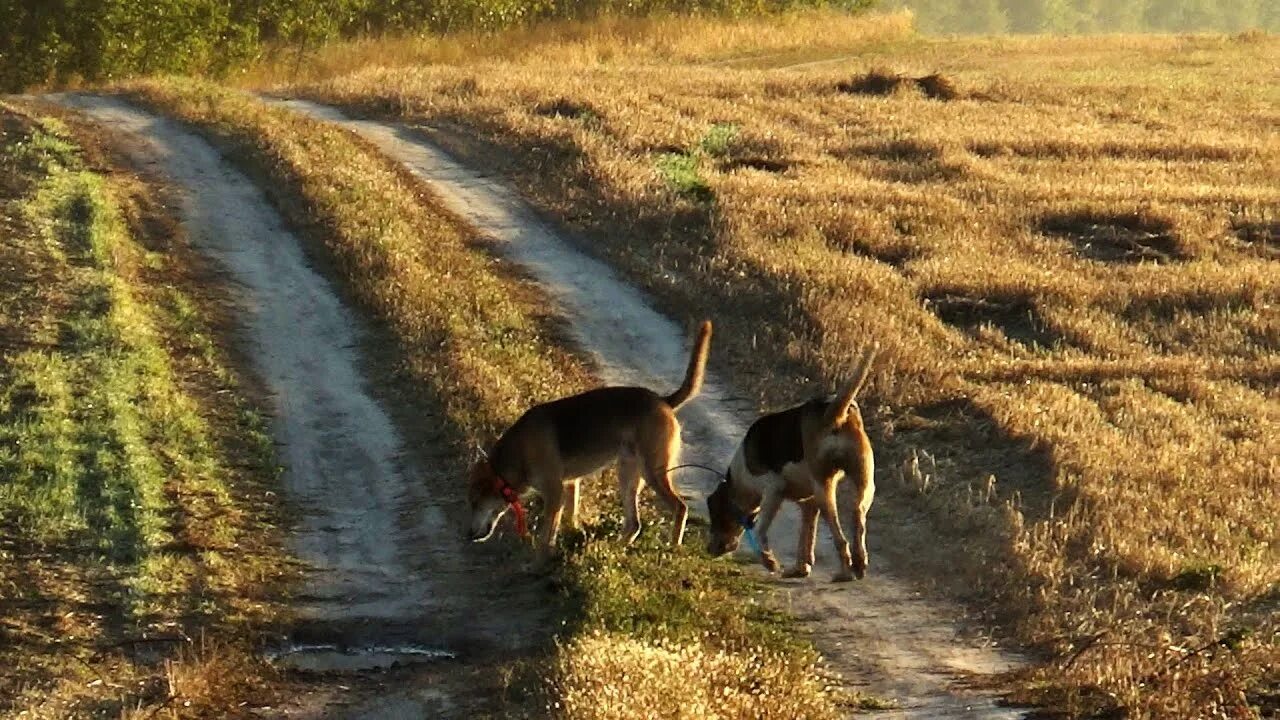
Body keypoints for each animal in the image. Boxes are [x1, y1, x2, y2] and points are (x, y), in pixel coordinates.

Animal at [468, 322, 716, 563]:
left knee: (680, 508)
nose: (469, 536)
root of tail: (663, 401)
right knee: (634, 524)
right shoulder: (570, 484)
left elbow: (546, 535)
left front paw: (538, 562)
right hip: (628, 474)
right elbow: (570, 517)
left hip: (653, 472)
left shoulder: (555, 493)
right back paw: (615, 550)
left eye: (475, 503)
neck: (516, 456)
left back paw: (672, 548)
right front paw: (571, 539)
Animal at [706, 351, 875, 579]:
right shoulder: (808, 504)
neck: (740, 478)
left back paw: (844, 572)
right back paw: (859, 563)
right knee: (857, 517)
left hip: (825, 489)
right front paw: (801, 568)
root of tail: (834, 413)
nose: (708, 550)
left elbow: (760, 532)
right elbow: (805, 538)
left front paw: (769, 561)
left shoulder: (773, 491)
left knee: (841, 539)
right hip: (864, 481)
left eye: (716, 517)